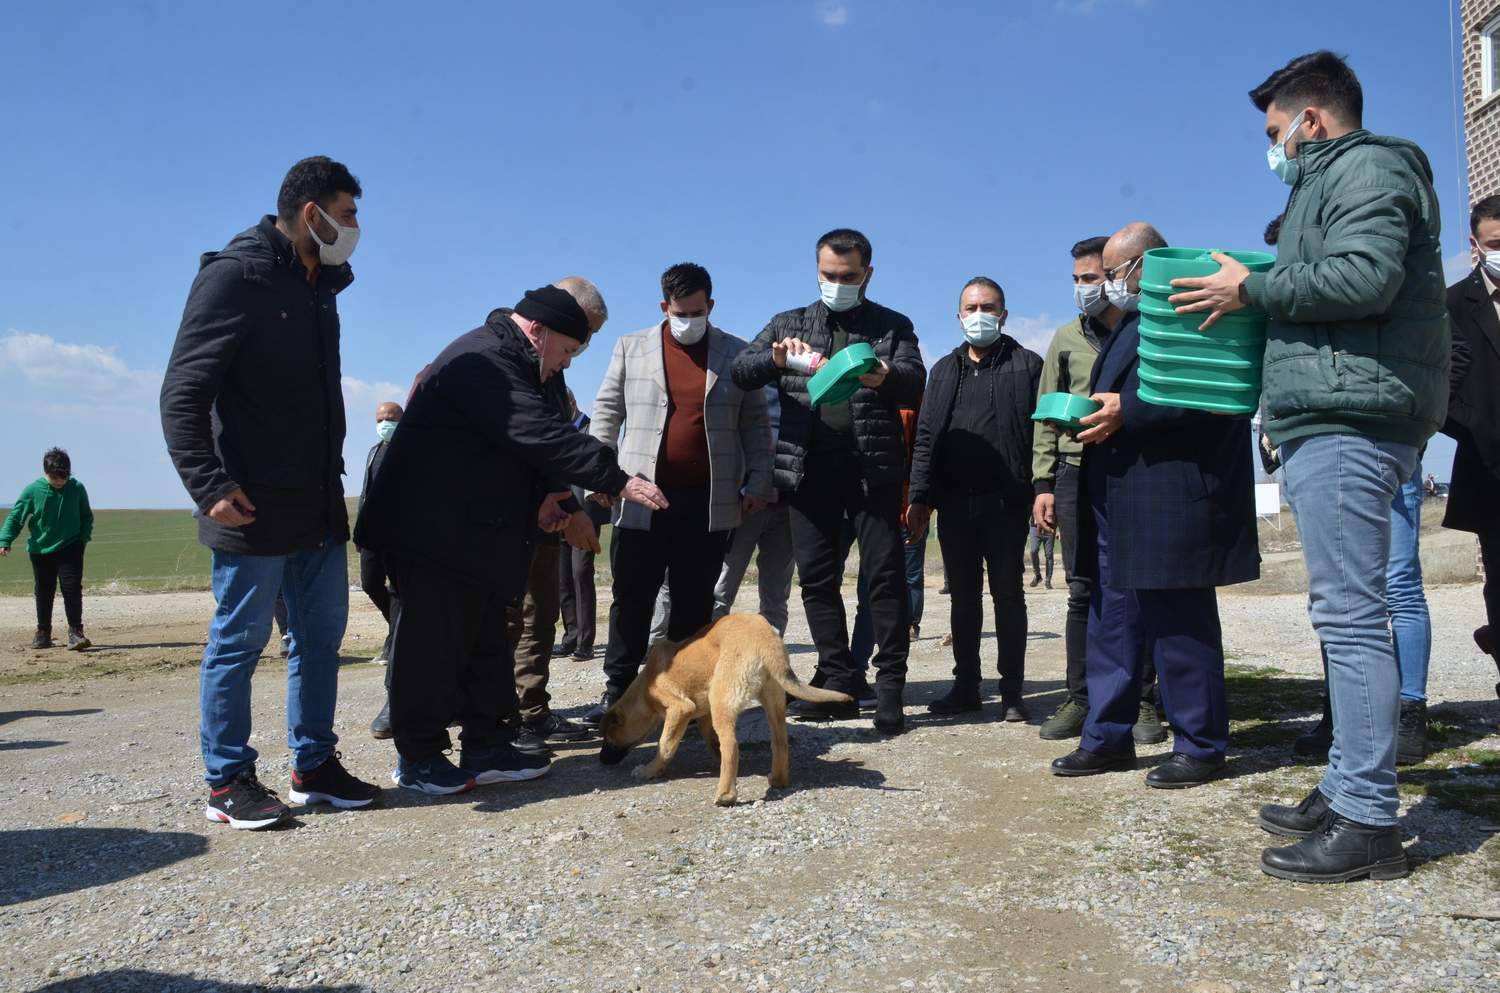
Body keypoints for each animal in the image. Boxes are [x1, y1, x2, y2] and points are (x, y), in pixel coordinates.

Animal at [597, 615, 858, 810]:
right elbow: (710, 740)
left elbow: (666, 745)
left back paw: (725, 794)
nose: (601, 760)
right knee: (780, 742)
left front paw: (650, 770)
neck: (645, 687)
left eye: (609, 738)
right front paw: (714, 757)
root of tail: (767, 642)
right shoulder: (703, 714)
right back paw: (778, 779)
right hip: (772, 700)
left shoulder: (680, 708)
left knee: (732, 745)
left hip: (722, 700)